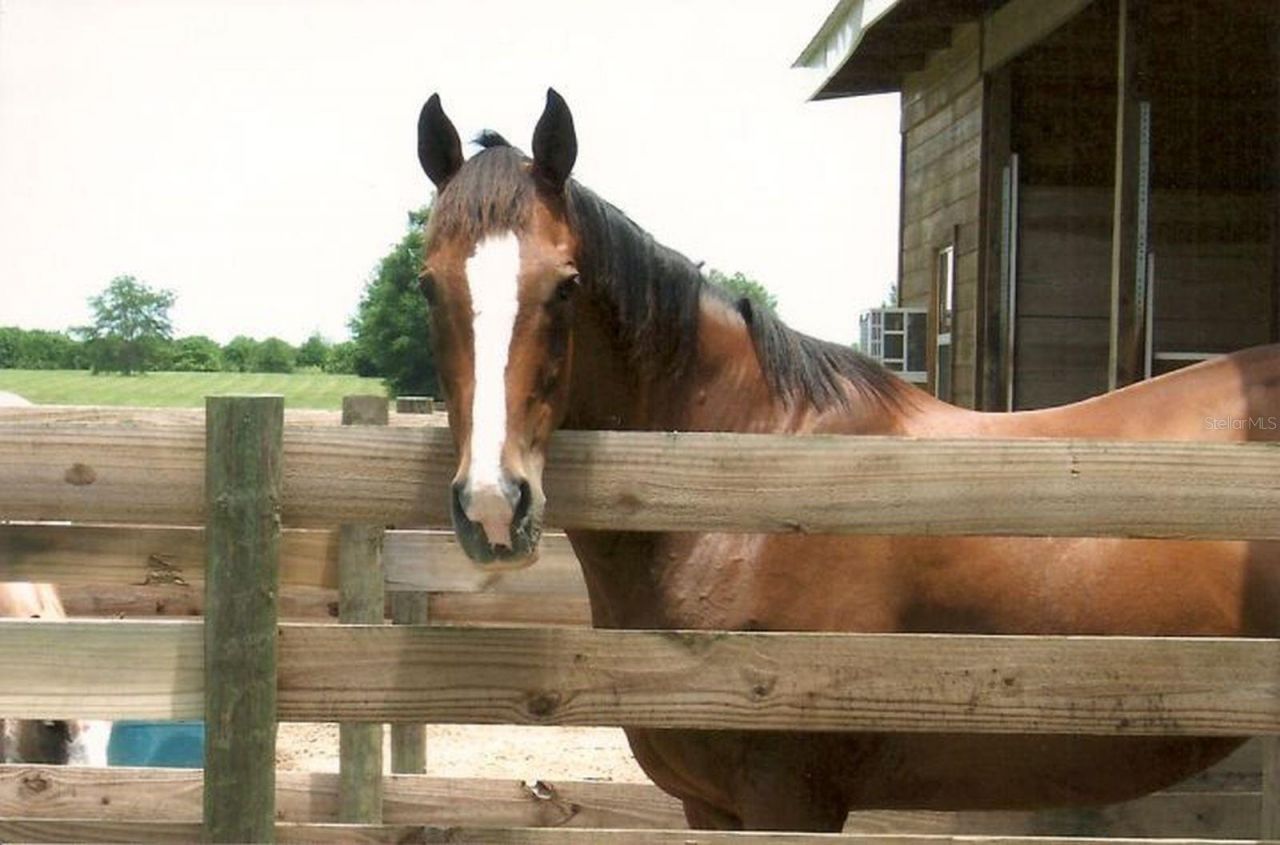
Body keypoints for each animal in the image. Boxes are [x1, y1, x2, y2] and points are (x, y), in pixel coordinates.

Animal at [413, 89, 1280, 831]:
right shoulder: (710, 803)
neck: (746, 489)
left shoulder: (788, 795)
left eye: (564, 286)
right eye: (427, 287)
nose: (494, 504)